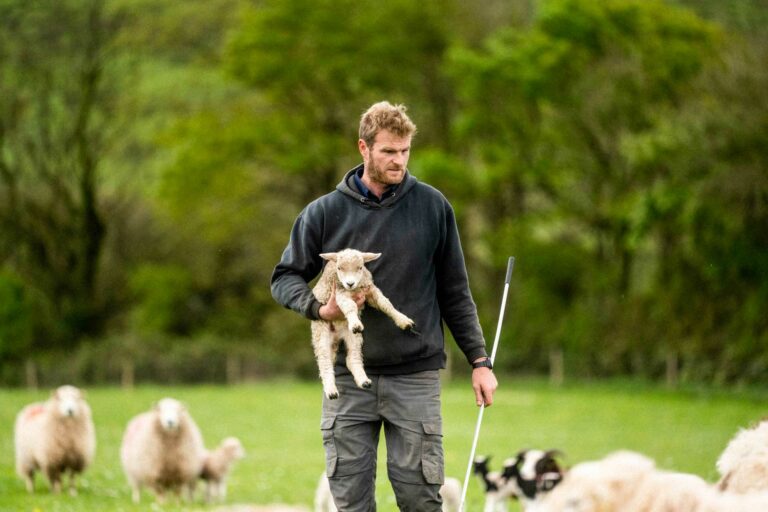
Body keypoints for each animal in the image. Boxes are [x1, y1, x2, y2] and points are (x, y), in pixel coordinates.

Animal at [310, 248, 414, 400]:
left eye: (360, 267)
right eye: (339, 268)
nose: (350, 283)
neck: (354, 289)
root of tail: (336, 336)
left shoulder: (370, 290)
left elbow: (385, 303)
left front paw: (403, 320)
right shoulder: (340, 294)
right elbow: (350, 306)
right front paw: (354, 322)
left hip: (354, 337)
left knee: (352, 358)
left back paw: (363, 381)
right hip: (321, 332)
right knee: (325, 362)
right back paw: (331, 391)